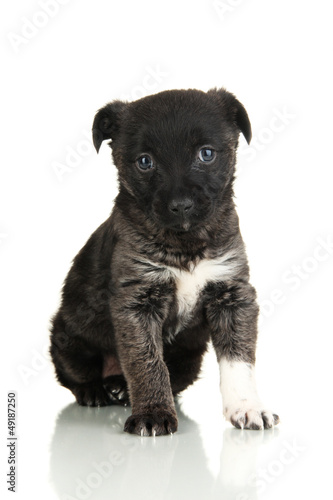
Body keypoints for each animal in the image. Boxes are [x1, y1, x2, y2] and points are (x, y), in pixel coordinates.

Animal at [49, 88, 278, 436]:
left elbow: (238, 360)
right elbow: (147, 362)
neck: (185, 244)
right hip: (67, 335)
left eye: (206, 154)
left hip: (189, 357)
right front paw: (154, 414)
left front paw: (247, 407)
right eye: (145, 161)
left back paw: (120, 388)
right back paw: (96, 390)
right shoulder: (136, 303)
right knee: (72, 374)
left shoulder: (232, 295)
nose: (181, 205)